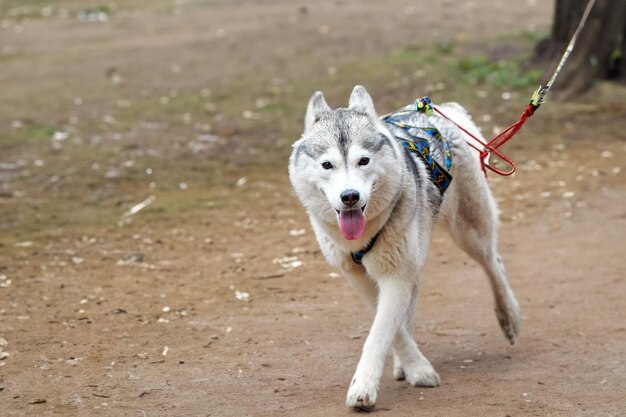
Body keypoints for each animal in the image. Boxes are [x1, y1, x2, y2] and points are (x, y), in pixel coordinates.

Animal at [286, 85, 516, 410]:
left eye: (364, 161)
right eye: (327, 165)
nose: (349, 197)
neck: (363, 236)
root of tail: (446, 109)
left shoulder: (395, 276)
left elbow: (379, 333)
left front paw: (367, 387)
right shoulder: (359, 277)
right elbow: (391, 327)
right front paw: (413, 365)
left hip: (470, 233)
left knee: (494, 263)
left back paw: (509, 318)